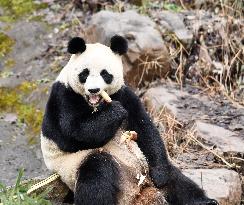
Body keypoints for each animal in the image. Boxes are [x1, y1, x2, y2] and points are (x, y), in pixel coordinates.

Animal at [40, 35, 219, 205]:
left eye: (105, 74)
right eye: (84, 73)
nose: (94, 90)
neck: (96, 105)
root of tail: (137, 191)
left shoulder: (124, 94)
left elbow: (144, 129)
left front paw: (160, 174)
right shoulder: (63, 97)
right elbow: (73, 133)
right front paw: (115, 112)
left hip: (145, 165)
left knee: (176, 180)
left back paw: (203, 201)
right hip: (76, 165)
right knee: (97, 174)